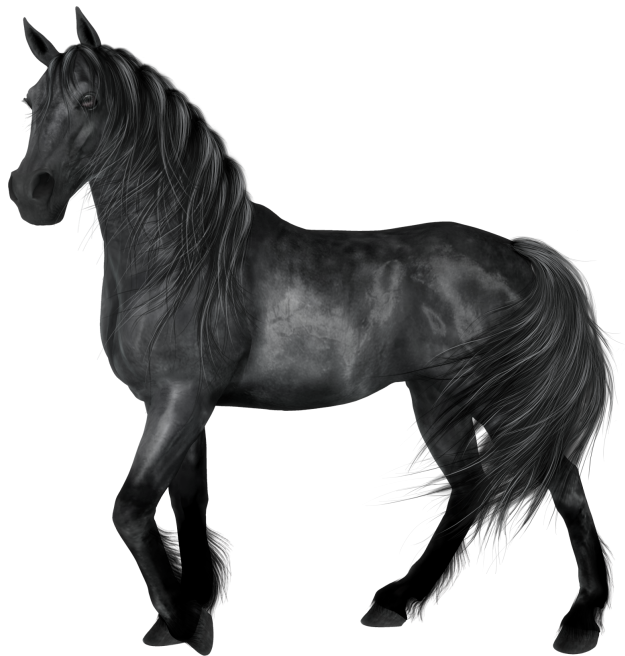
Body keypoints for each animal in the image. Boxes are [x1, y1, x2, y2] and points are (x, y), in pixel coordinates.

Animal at [9, 8, 615, 655]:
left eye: (90, 100)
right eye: (31, 101)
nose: (31, 192)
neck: (183, 257)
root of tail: (521, 259)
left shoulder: (180, 400)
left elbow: (132, 508)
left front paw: (181, 618)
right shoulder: (183, 407)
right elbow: (190, 507)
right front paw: (196, 611)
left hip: (496, 399)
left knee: (559, 486)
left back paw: (581, 621)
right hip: (437, 400)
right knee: (472, 489)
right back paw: (399, 601)